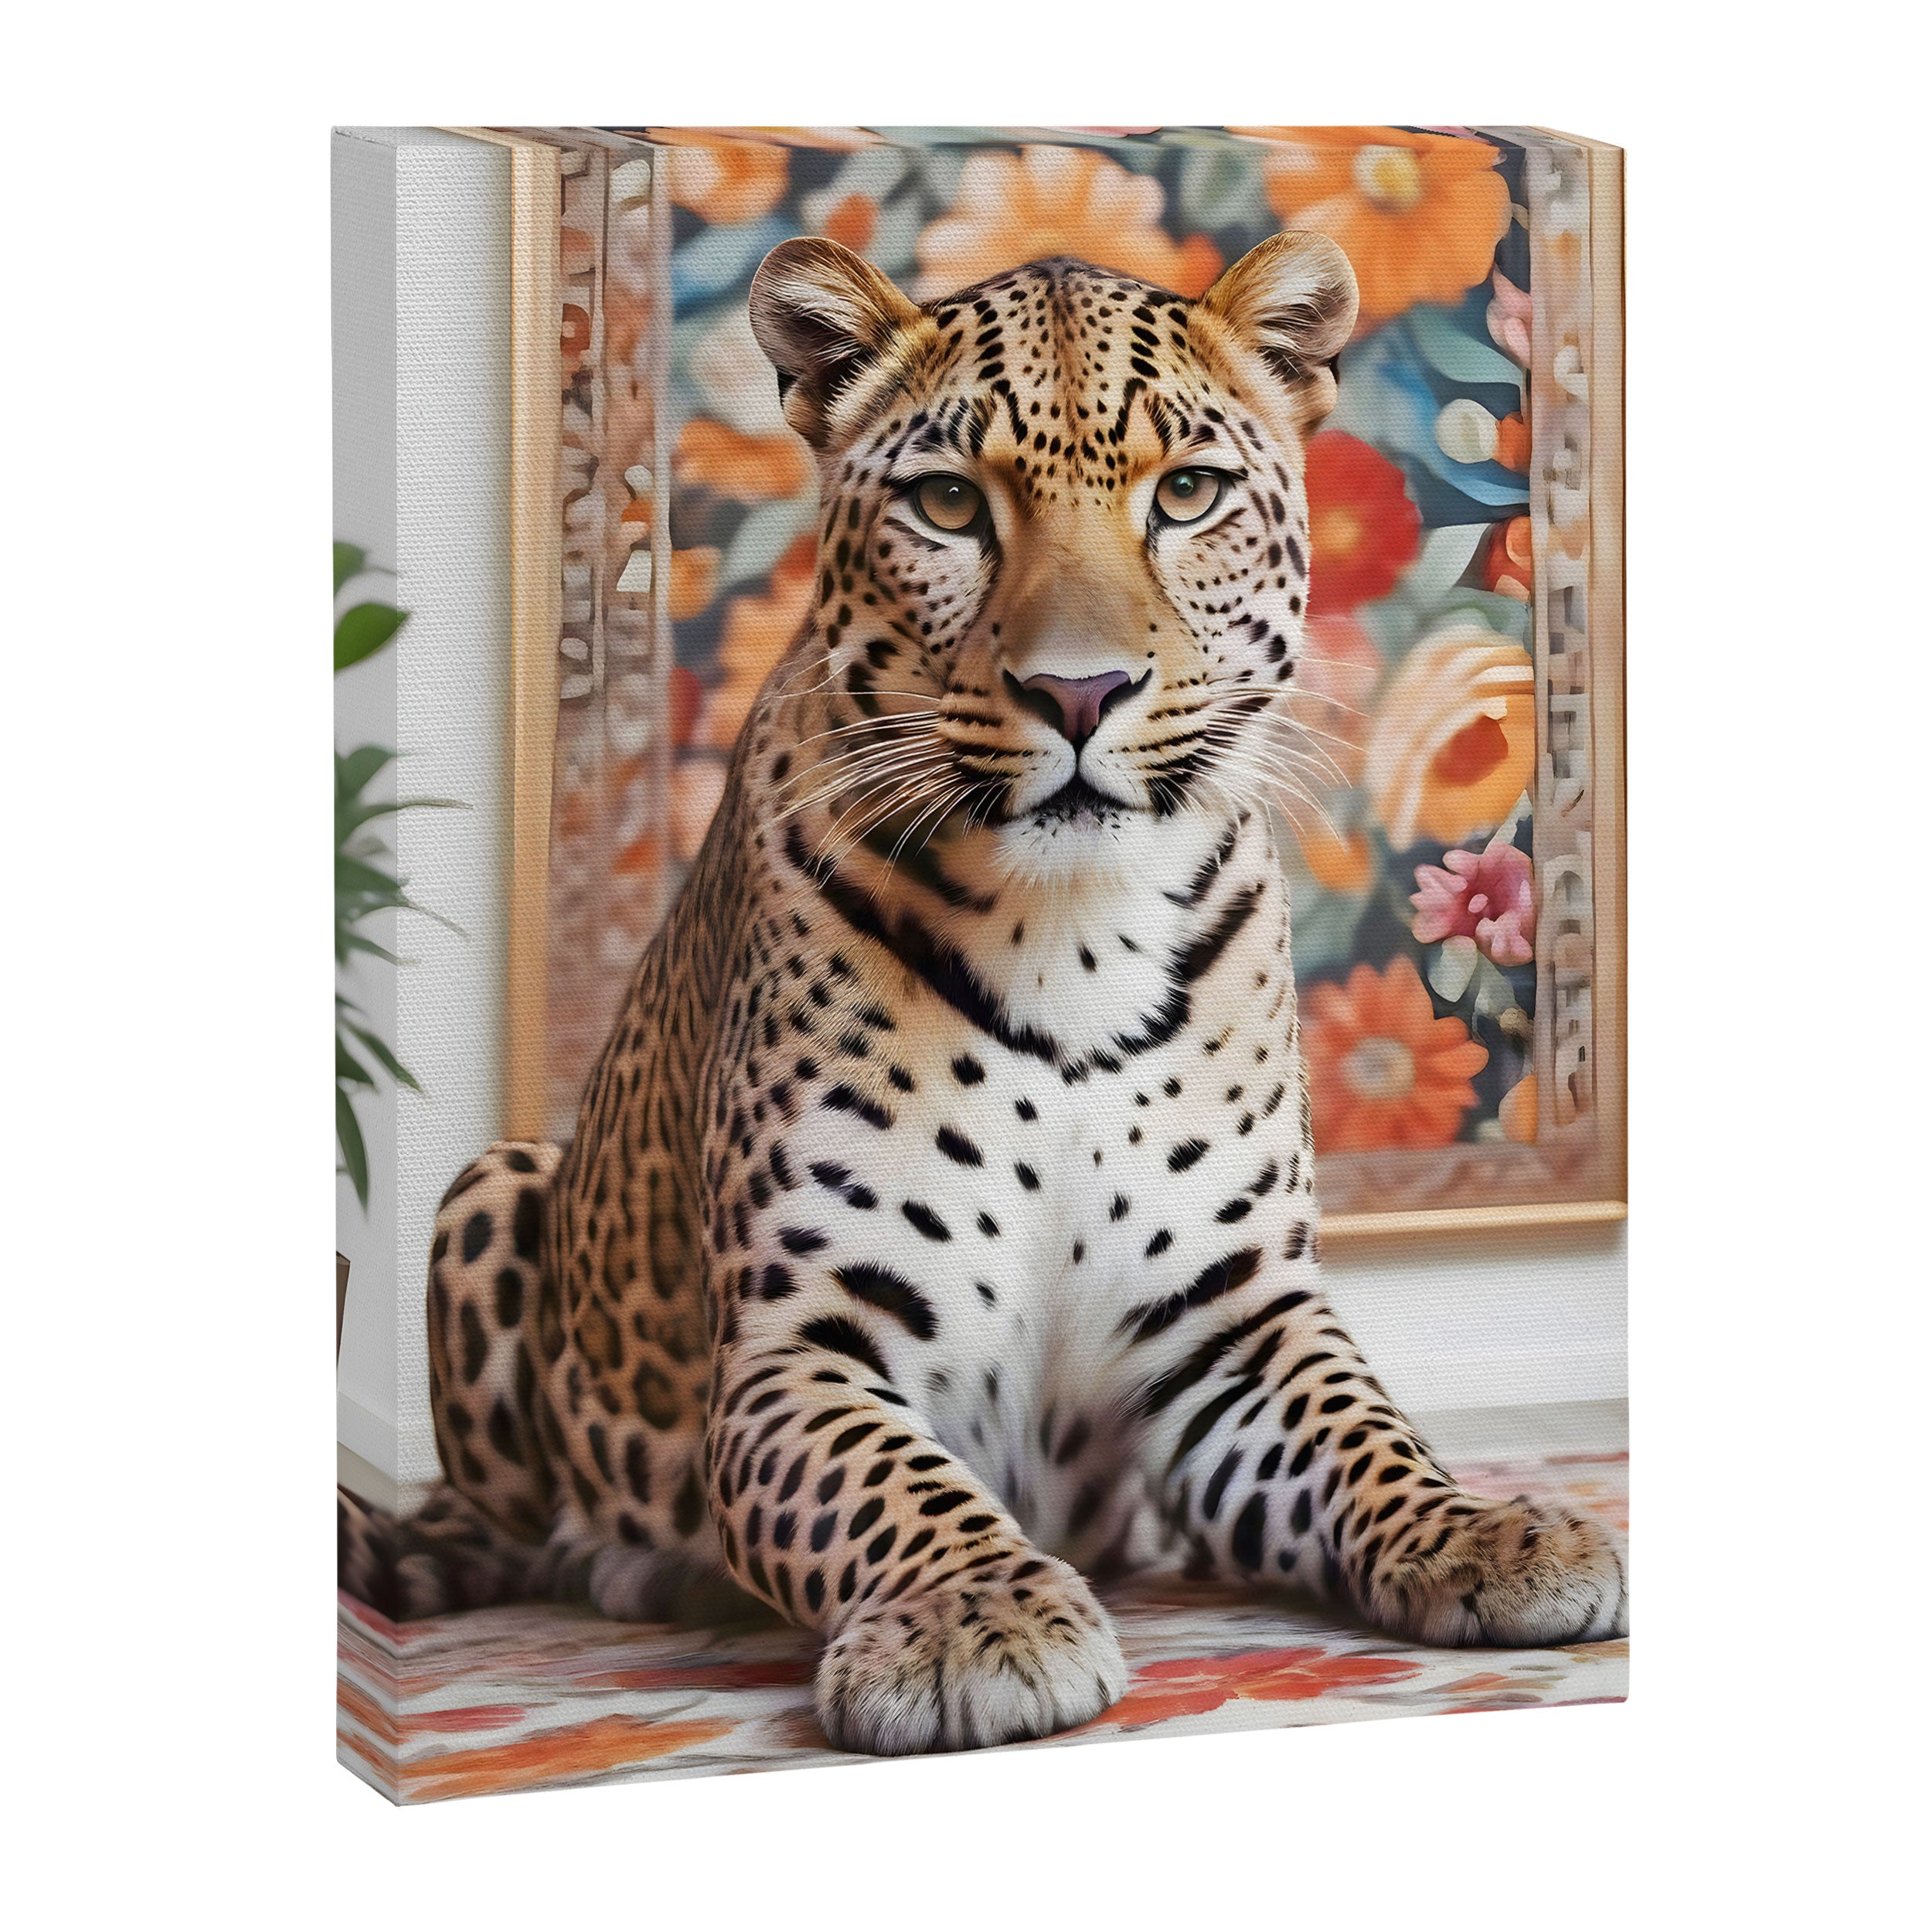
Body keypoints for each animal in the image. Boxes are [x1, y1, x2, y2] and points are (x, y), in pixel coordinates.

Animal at [339, 230, 1627, 1756]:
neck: (1074, 939)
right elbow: (888, 1485)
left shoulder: (1236, 1322)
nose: (1079, 694)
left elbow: (1371, 1434)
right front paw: (976, 1620)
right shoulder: (798, 1342)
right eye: (950, 504)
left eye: (1185, 493)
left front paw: (1488, 1529)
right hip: (493, 1186)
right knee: (508, 1526)